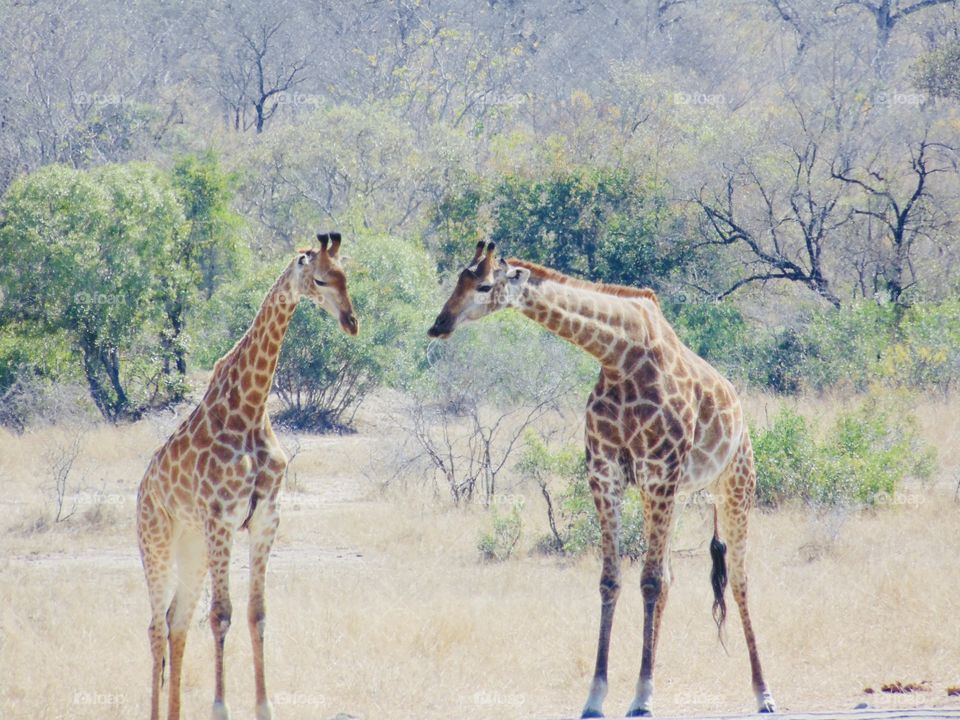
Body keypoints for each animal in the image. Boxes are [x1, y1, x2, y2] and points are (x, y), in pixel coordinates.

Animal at [136, 233, 358, 720]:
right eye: (319, 279)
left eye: (346, 276)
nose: (351, 322)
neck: (251, 407)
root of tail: (142, 489)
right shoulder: (222, 517)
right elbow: (222, 615)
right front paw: (221, 708)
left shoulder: (265, 518)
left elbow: (257, 613)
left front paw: (264, 707)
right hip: (156, 542)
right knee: (156, 626)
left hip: (194, 546)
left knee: (177, 621)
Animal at [427, 242, 777, 718]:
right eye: (456, 280)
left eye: (482, 285)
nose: (438, 325)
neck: (618, 357)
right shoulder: (607, 473)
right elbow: (613, 580)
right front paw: (599, 696)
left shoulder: (658, 470)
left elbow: (648, 580)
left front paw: (642, 698)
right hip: (669, 493)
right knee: (671, 578)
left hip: (736, 481)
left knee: (738, 579)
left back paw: (763, 693)